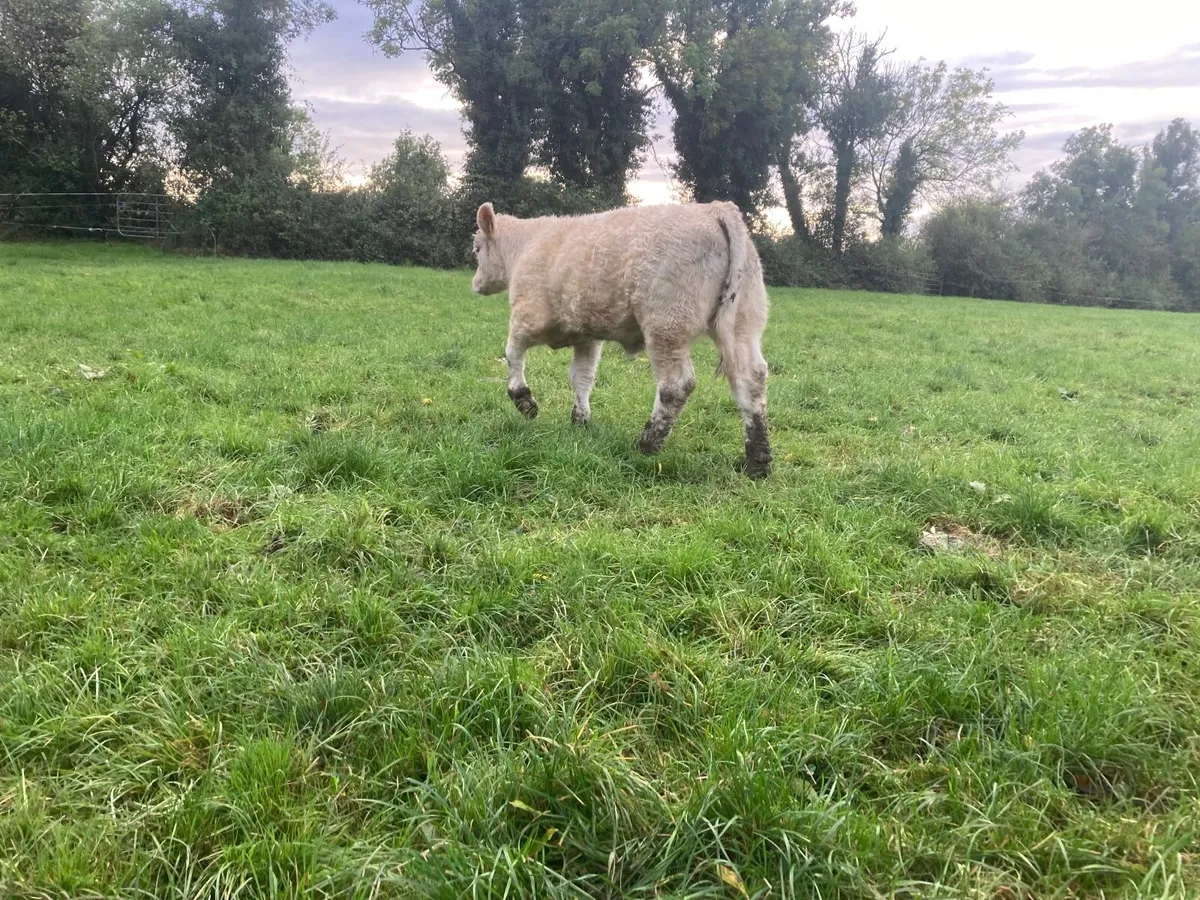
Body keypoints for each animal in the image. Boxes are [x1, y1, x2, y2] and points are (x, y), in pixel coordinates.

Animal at [470, 200, 772, 478]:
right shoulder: (587, 337)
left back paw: (648, 442)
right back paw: (757, 460)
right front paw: (580, 420)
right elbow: (582, 377)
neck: (524, 246)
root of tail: (715, 209)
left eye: (476, 249)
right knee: (750, 379)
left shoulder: (527, 316)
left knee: (676, 385)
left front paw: (524, 401)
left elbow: (512, 353)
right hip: (744, 324)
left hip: (667, 325)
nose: (475, 284)